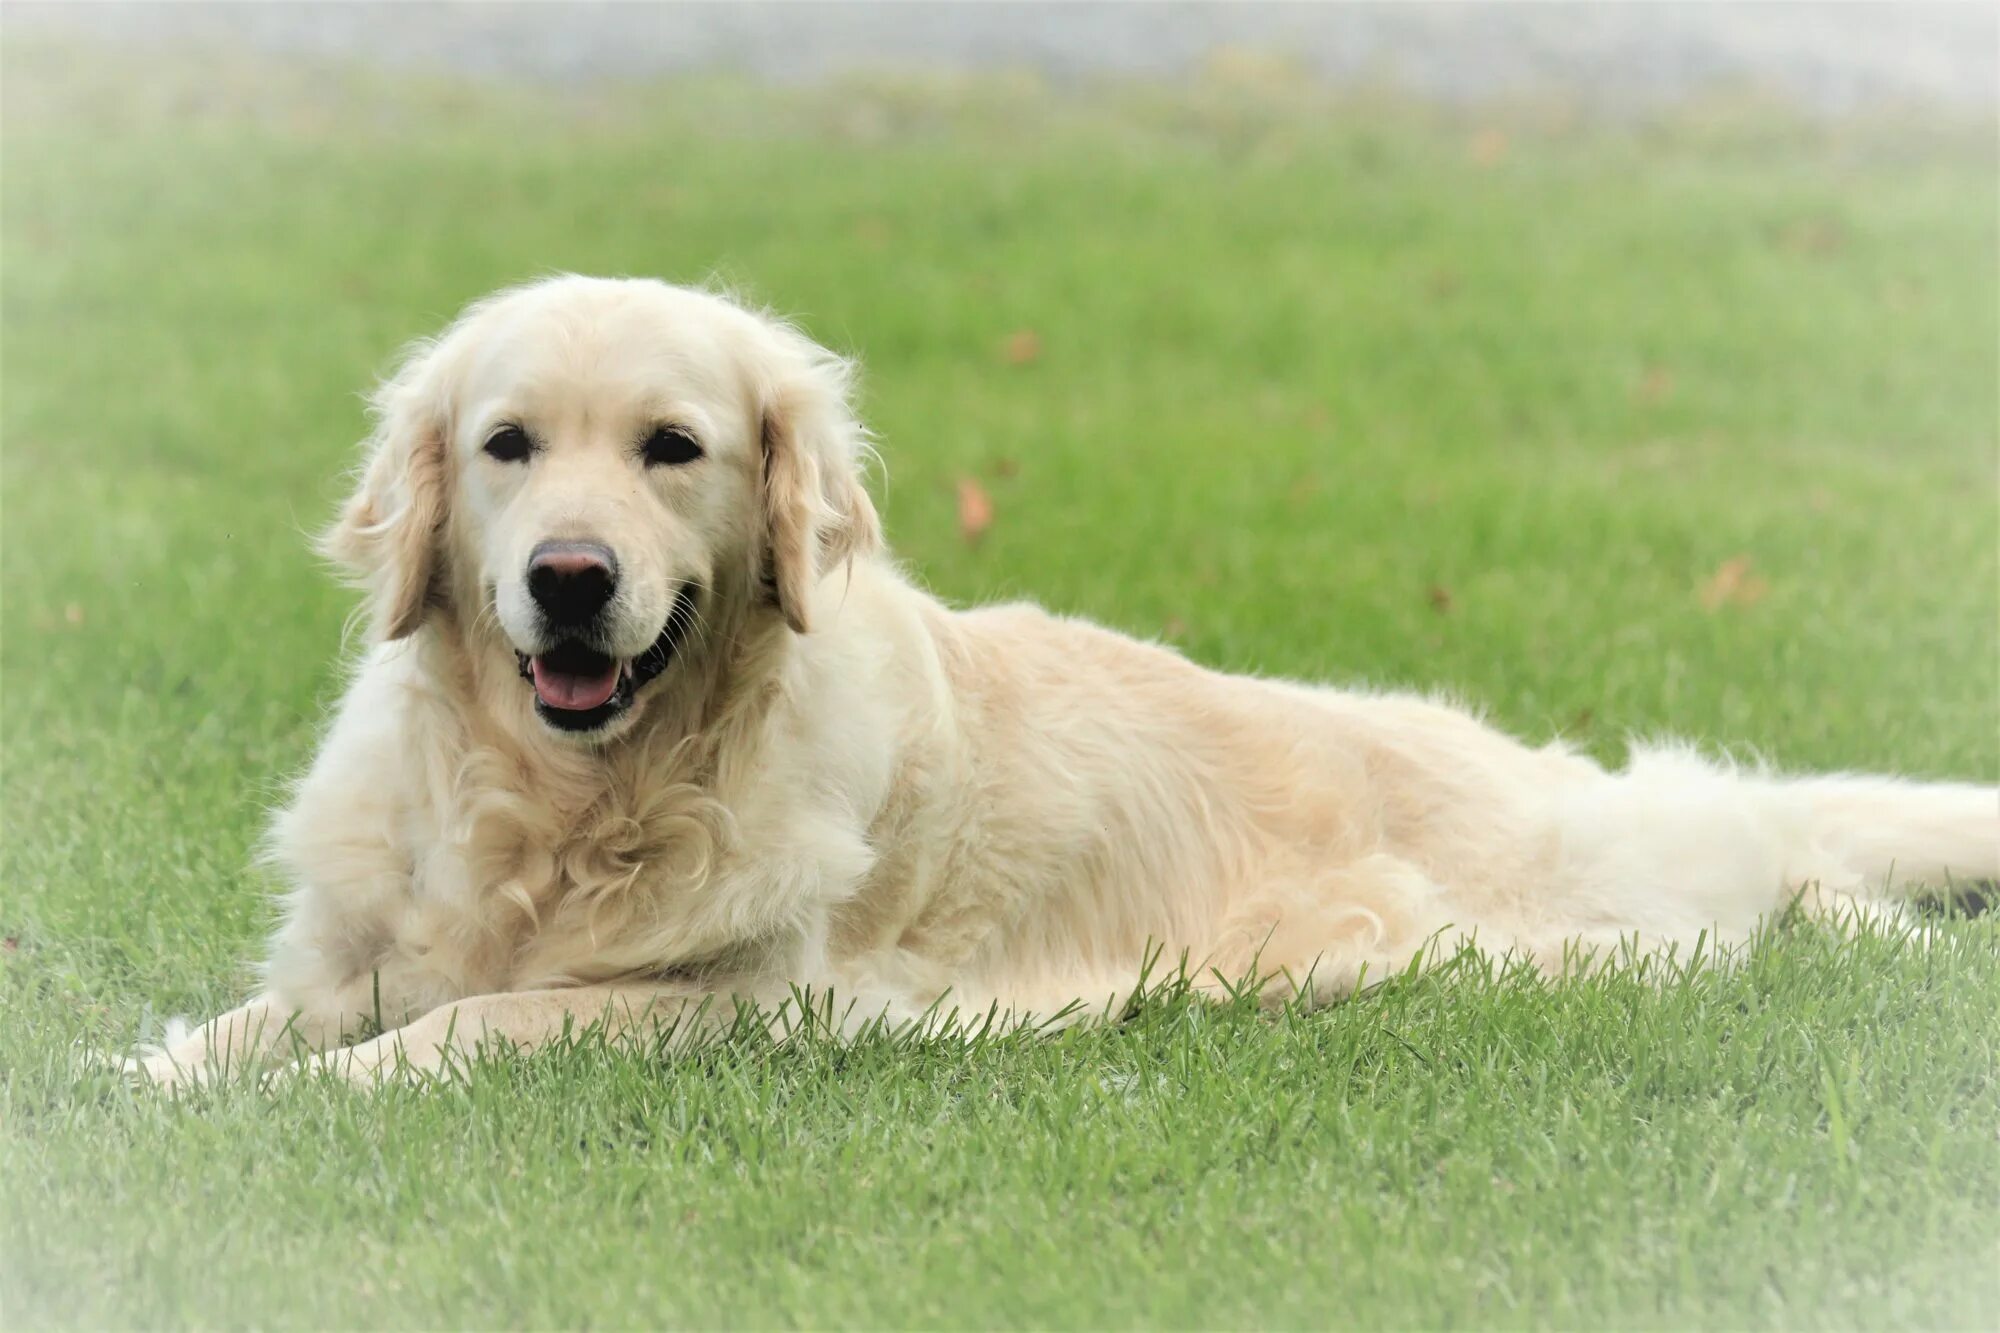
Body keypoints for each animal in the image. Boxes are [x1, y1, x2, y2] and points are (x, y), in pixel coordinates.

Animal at [133, 274, 1992, 1088]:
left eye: (671, 447)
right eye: (509, 445)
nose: (571, 581)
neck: (574, 796)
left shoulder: (749, 996)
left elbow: (467, 1023)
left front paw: (314, 1099)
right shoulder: (375, 940)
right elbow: (264, 1019)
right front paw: (153, 1083)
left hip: (1578, 904)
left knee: (1761, 867)